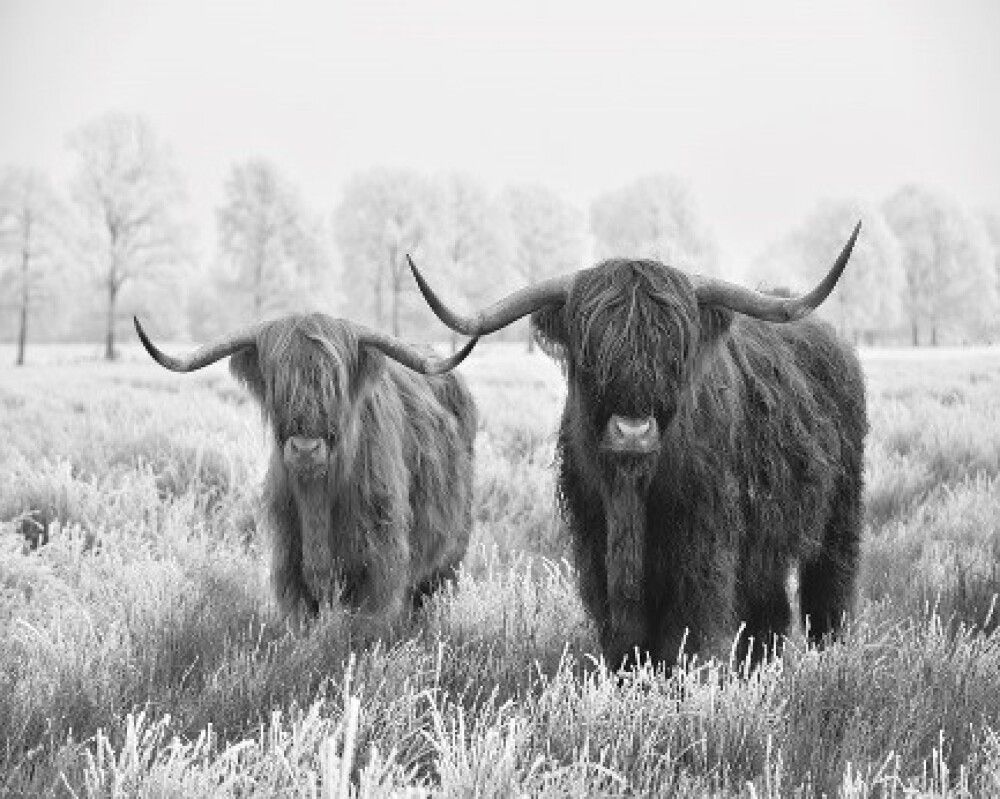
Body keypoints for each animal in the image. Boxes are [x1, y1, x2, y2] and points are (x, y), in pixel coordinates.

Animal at [134, 313, 478, 630]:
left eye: (335, 383)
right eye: (277, 382)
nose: (305, 449)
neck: (317, 500)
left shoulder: (378, 566)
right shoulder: (290, 566)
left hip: (451, 555)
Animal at [407, 222, 866, 669]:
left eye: (675, 348)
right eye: (590, 347)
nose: (632, 433)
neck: (630, 491)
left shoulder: (702, 553)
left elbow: (685, 639)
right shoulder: (595, 551)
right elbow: (624, 643)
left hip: (839, 516)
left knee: (829, 591)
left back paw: (829, 658)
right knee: (768, 612)